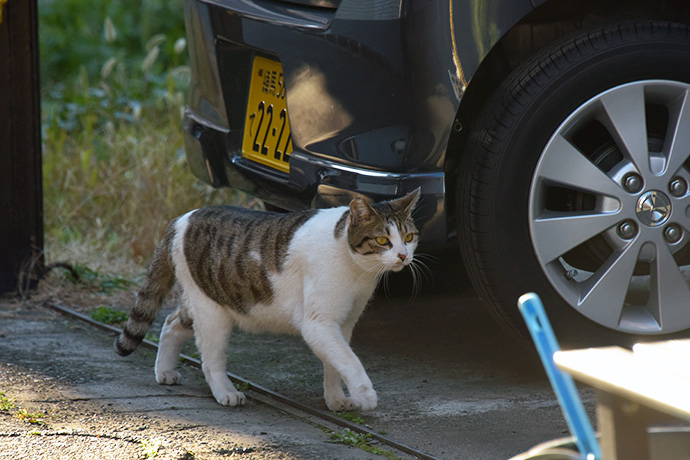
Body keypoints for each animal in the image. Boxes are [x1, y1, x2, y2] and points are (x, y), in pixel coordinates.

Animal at [113, 189, 420, 412]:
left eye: (409, 236)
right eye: (382, 240)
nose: (404, 255)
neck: (357, 270)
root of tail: (180, 219)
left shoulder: (343, 324)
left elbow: (335, 364)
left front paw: (337, 399)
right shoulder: (319, 324)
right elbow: (350, 361)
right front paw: (366, 395)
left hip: (205, 299)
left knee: (170, 322)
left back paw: (164, 371)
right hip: (212, 312)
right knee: (210, 360)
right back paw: (226, 392)